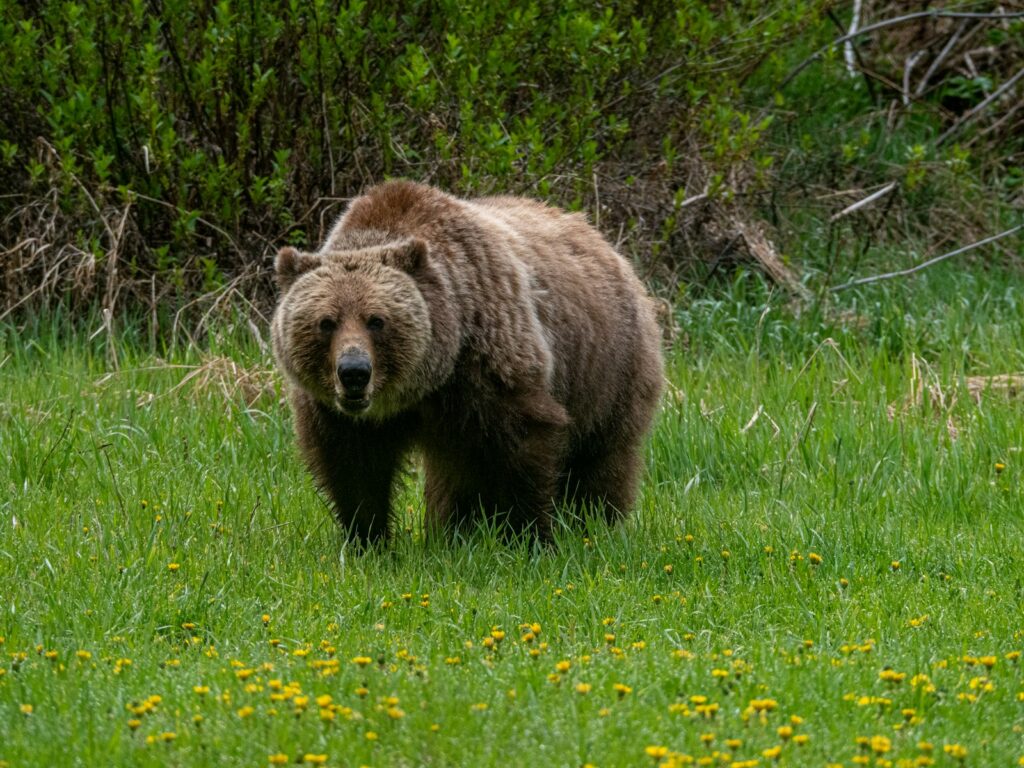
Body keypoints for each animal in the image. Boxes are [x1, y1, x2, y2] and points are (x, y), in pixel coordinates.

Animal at [271, 180, 663, 545]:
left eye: (376, 320)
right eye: (327, 322)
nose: (354, 372)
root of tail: (606, 244)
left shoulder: (488, 362)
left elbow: (522, 446)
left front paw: (530, 536)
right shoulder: (341, 414)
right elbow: (355, 468)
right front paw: (367, 539)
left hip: (607, 370)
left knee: (600, 458)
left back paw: (596, 523)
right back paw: (455, 530)